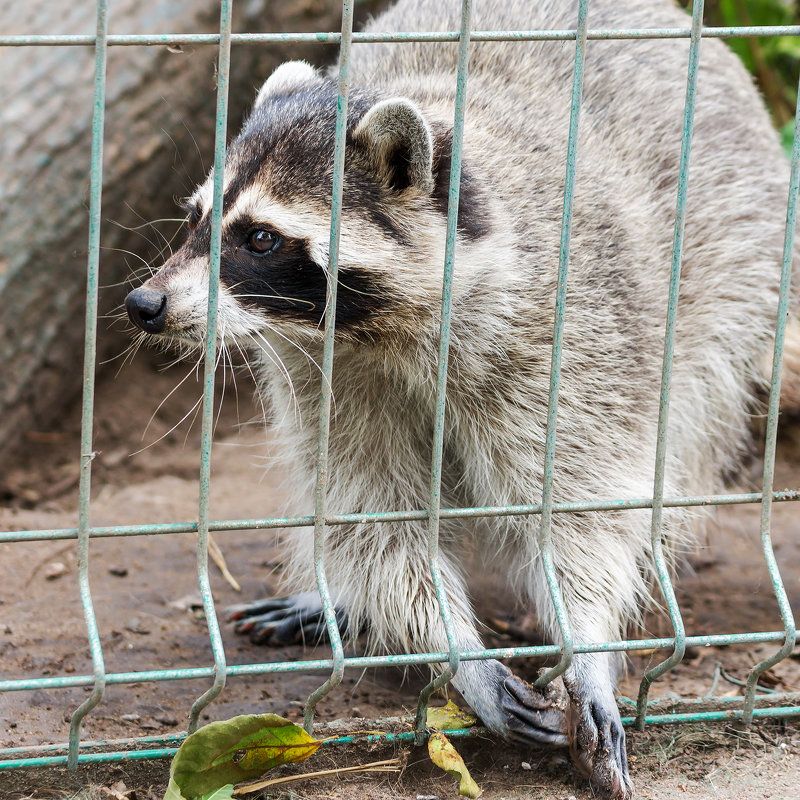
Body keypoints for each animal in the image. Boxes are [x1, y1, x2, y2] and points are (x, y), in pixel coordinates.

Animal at [125, 0, 800, 796]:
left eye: (260, 238)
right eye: (196, 219)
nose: (145, 304)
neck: (380, 330)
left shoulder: (572, 331)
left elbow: (583, 503)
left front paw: (588, 641)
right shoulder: (329, 373)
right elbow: (373, 513)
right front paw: (455, 652)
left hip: (737, 271)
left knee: (687, 431)